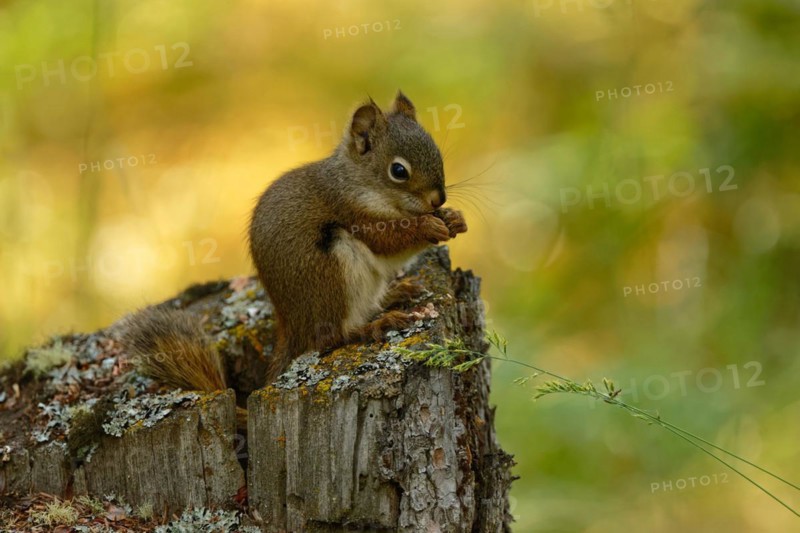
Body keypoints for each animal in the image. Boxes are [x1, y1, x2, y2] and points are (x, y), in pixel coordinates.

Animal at [122, 91, 467, 399]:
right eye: (398, 171)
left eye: (436, 151)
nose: (438, 200)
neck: (359, 183)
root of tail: (294, 330)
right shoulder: (353, 214)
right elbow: (388, 240)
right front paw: (428, 225)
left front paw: (454, 219)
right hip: (332, 276)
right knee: (331, 337)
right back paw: (376, 324)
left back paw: (395, 294)